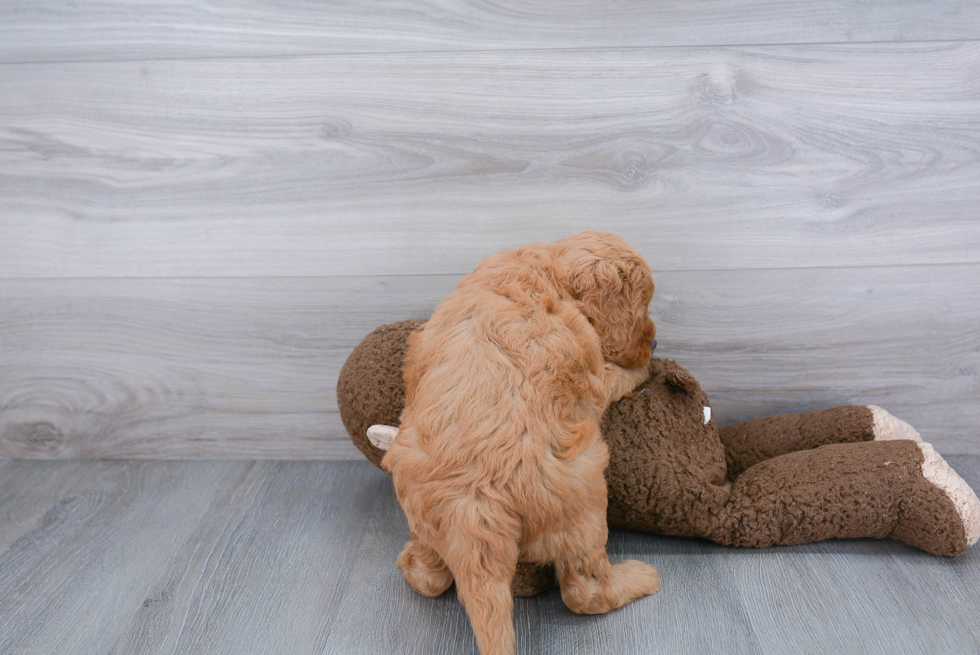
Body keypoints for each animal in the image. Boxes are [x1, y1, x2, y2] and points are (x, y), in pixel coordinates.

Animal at [380, 233, 660, 652]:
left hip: (419, 506)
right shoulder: (595, 373)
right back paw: (639, 578)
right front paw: (641, 368)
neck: (545, 268)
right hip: (585, 496)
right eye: (642, 305)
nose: (655, 344)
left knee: (429, 577)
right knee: (586, 590)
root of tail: (472, 509)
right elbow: (617, 374)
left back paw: (411, 560)